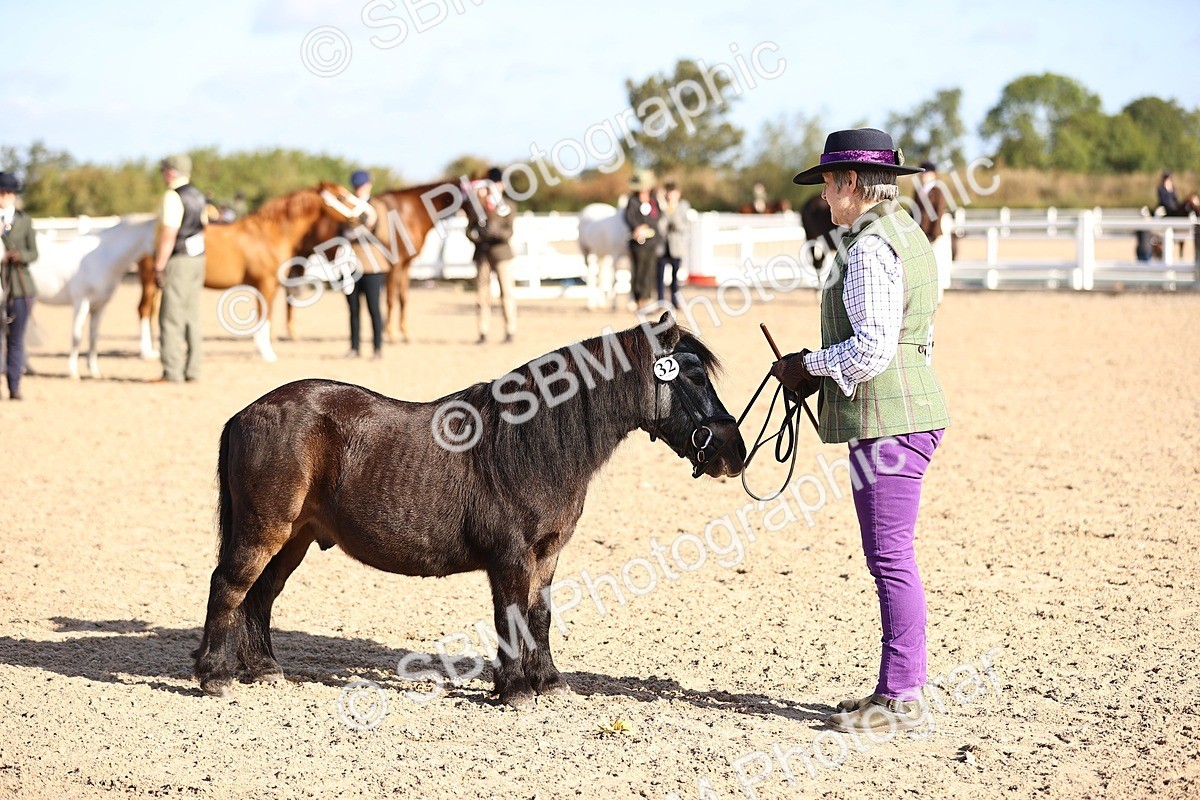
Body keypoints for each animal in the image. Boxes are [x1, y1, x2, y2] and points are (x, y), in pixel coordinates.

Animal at [29, 216, 157, 379]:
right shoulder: (81, 302)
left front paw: (94, 371)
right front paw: (73, 372)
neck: (100, 258)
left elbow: (94, 337)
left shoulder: (100, 306)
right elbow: (76, 336)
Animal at [137, 182, 367, 362]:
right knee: (144, 310)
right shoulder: (266, 284)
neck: (272, 234)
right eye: (342, 196)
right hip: (150, 280)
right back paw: (147, 353)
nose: (364, 215)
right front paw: (268, 353)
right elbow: (265, 317)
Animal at [193, 313, 747, 708]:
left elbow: (538, 616)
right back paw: (214, 677)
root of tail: (247, 412)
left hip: (296, 537)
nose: (733, 453)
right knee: (230, 586)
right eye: (693, 375)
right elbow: (511, 617)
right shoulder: (510, 557)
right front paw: (516, 690)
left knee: (261, 595)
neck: (529, 444)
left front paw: (547, 682)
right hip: (264, 530)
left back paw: (265, 670)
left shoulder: (546, 556)